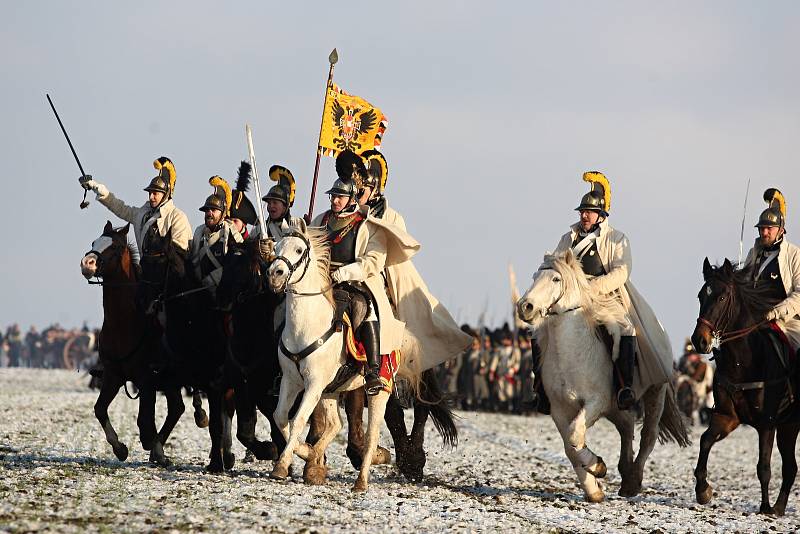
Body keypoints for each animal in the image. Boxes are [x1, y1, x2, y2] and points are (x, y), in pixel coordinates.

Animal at [268, 225, 418, 494]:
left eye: (299, 249)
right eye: (276, 246)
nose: (275, 274)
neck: (307, 325)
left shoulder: (314, 384)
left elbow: (297, 421)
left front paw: (282, 466)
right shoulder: (291, 381)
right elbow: (281, 417)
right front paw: (306, 453)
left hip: (378, 392)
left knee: (371, 435)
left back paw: (361, 481)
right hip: (331, 391)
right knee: (334, 425)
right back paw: (314, 460)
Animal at [520, 251, 688, 502]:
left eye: (556, 279)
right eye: (534, 276)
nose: (525, 307)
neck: (570, 354)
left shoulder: (595, 402)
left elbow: (574, 436)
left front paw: (597, 468)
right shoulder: (560, 410)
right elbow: (570, 446)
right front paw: (594, 488)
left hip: (655, 391)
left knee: (648, 434)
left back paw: (632, 482)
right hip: (614, 407)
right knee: (626, 426)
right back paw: (625, 472)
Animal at [692, 260, 796, 520]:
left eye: (722, 297)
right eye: (701, 295)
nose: (699, 340)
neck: (745, 362)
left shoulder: (767, 423)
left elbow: (764, 467)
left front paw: (765, 507)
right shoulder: (726, 417)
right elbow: (705, 440)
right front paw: (703, 490)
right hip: (788, 426)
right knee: (791, 467)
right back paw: (780, 508)